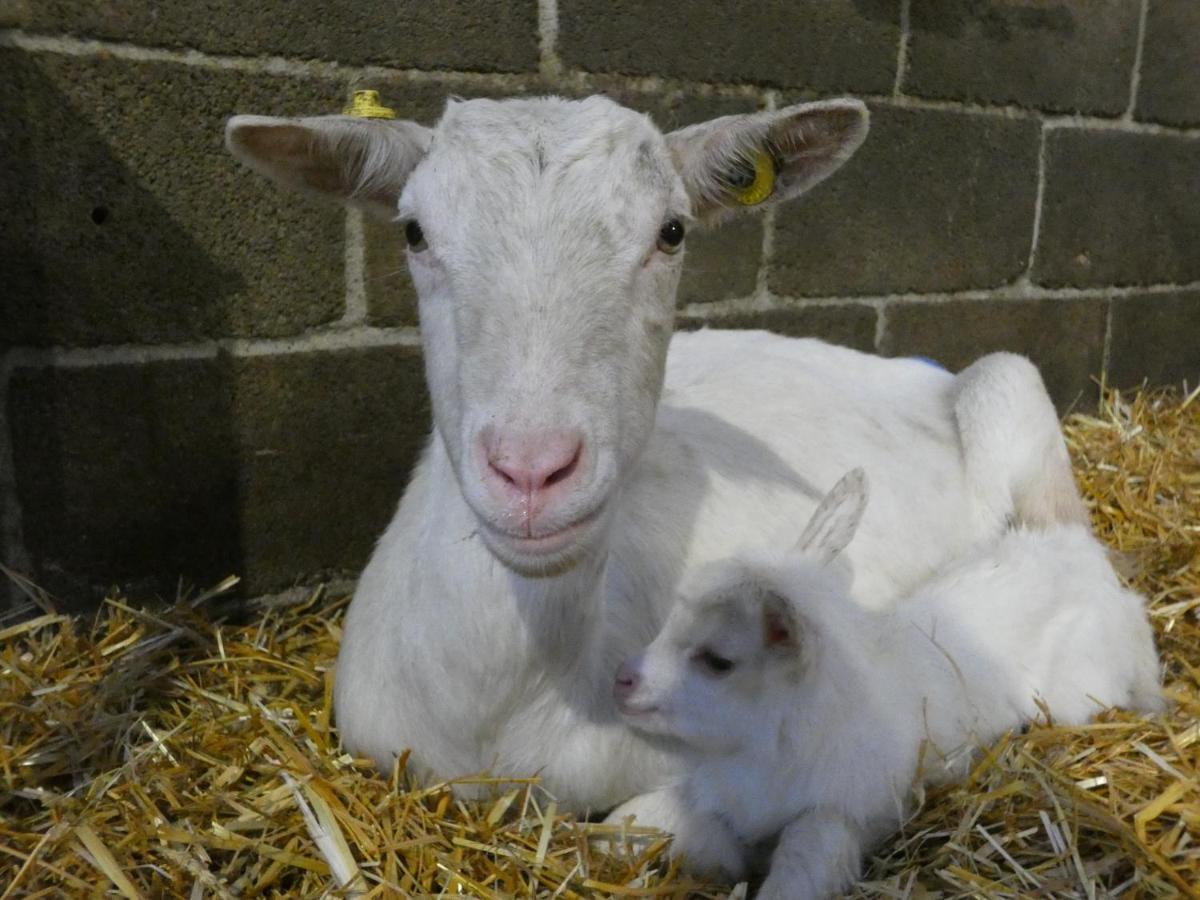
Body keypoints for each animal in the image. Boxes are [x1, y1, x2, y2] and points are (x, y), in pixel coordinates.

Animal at [226, 95, 1089, 820]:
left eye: (671, 231)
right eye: (413, 231)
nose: (532, 472)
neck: (504, 715)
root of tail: (914, 368)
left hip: (1010, 382)